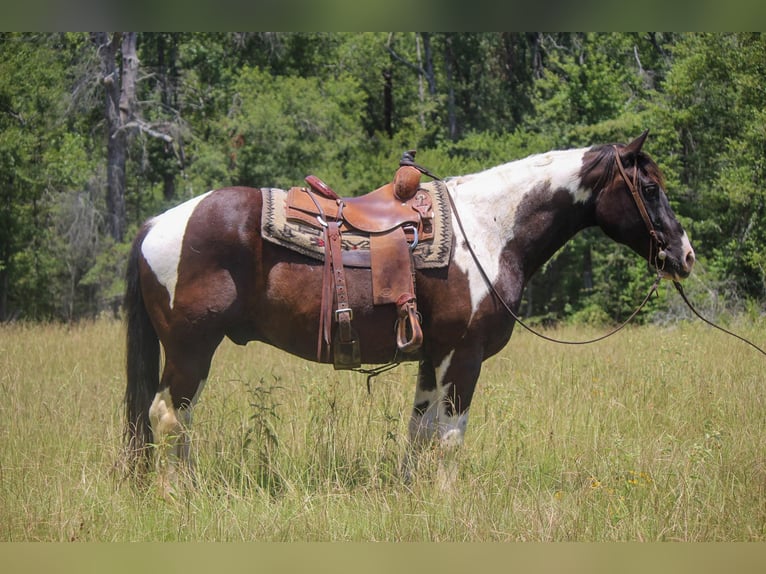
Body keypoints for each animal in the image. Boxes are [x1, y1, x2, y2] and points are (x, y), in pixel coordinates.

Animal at [121, 129, 696, 496]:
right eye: (649, 189)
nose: (685, 255)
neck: (488, 229)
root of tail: (156, 224)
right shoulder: (462, 356)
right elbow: (451, 436)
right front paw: (445, 500)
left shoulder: (430, 355)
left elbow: (420, 432)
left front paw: (411, 496)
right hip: (192, 350)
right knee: (168, 415)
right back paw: (178, 495)